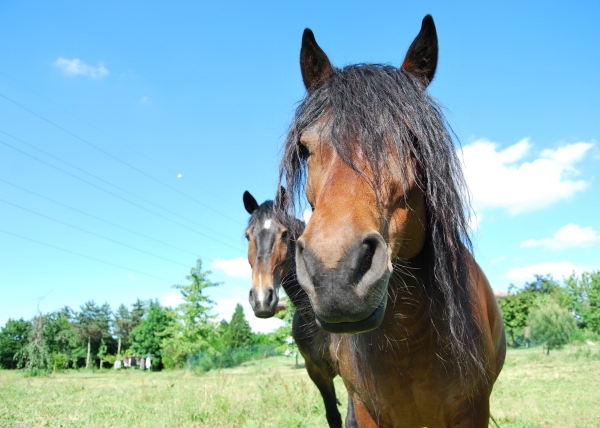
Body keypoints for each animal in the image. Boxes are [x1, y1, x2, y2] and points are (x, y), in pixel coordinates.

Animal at [282, 14, 506, 428]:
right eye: (305, 148)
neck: (410, 341)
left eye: (412, 140)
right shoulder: (368, 410)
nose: (334, 274)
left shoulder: (473, 410)